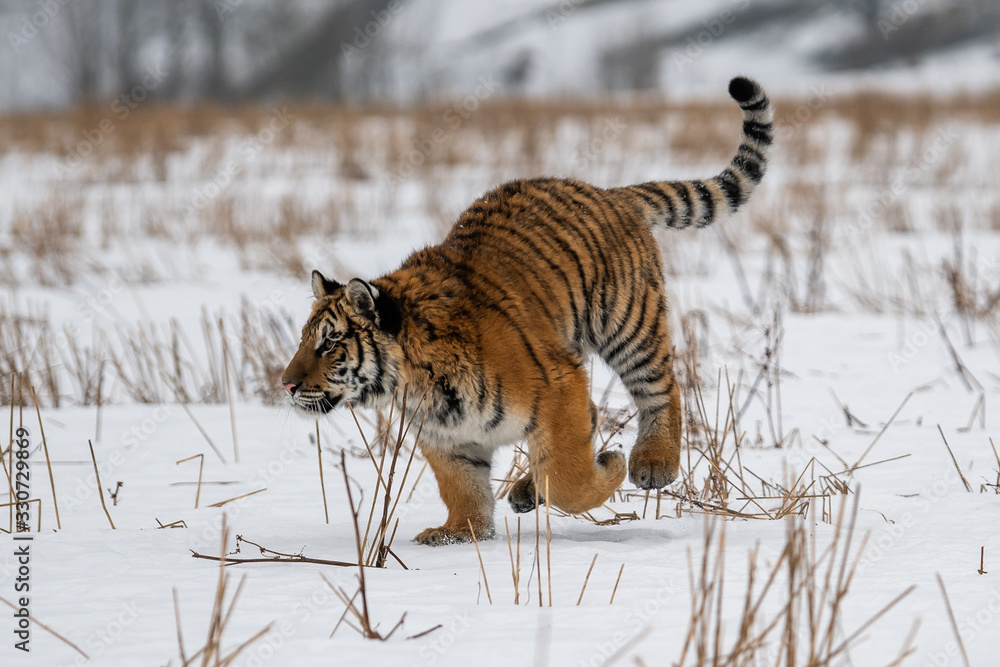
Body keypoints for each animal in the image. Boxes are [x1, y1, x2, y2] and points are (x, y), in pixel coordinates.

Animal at [282, 76, 772, 545]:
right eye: (306, 340)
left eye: (330, 343)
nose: (286, 385)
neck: (416, 382)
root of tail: (609, 192)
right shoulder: (446, 437)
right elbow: (462, 486)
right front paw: (460, 533)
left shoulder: (558, 383)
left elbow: (569, 478)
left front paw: (609, 466)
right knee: (592, 416)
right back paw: (525, 490)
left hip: (626, 325)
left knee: (661, 388)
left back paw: (652, 463)